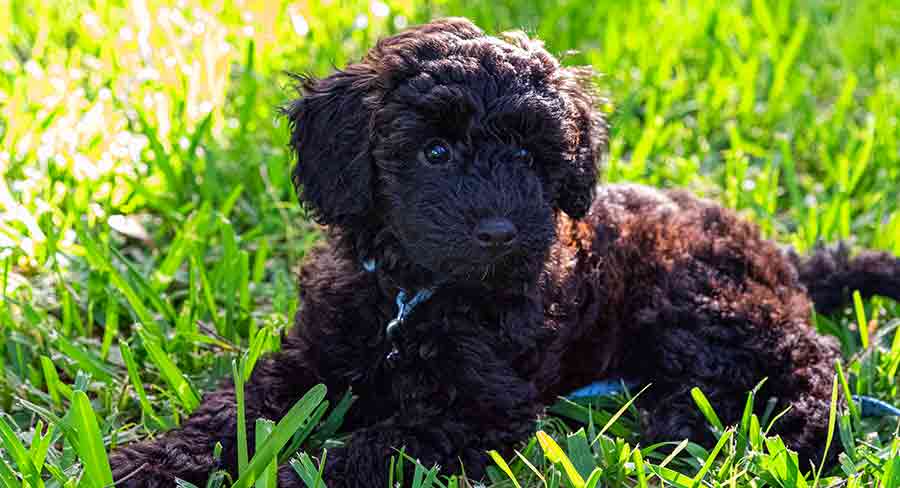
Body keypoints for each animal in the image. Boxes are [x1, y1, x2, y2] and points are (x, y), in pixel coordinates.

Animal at [110, 17, 900, 486]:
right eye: (434, 152)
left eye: (526, 155)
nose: (499, 232)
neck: (412, 293)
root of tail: (783, 256)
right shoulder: (313, 356)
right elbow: (237, 409)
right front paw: (150, 459)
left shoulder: (483, 410)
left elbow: (370, 451)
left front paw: (289, 471)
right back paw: (677, 426)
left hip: (704, 300)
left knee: (810, 362)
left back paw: (779, 433)